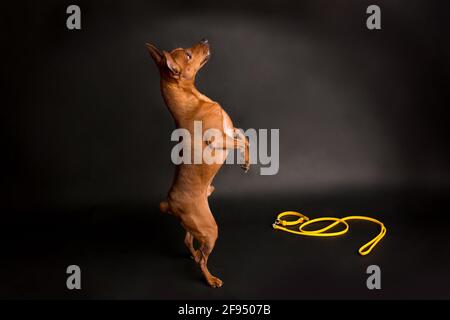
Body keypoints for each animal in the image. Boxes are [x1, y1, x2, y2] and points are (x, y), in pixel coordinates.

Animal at [146, 38, 250, 288]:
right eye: (188, 55)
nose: (205, 41)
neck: (194, 100)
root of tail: (169, 204)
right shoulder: (220, 140)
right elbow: (241, 142)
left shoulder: (231, 130)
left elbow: (245, 138)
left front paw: (246, 163)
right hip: (210, 229)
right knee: (203, 258)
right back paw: (210, 279)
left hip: (196, 224)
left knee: (188, 241)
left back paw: (193, 255)